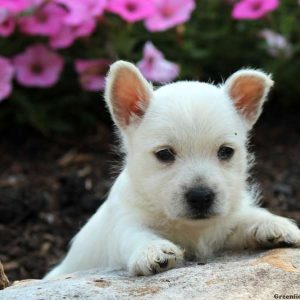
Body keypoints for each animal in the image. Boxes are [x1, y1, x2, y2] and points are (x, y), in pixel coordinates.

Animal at [44, 61, 300, 278]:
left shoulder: (226, 225)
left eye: (226, 151)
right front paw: (153, 250)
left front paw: (274, 225)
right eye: (164, 154)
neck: (190, 228)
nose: (201, 197)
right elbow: (134, 235)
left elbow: (245, 218)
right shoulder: (125, 221)